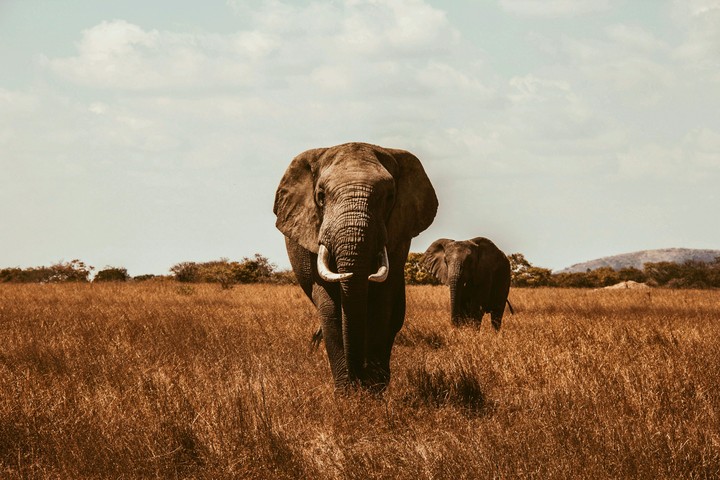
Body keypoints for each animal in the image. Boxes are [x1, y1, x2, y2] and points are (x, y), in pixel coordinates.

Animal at [274, 142, 438, 392]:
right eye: (321, 196)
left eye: (389, 197)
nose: (358, 379)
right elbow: (330, 307)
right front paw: (347, 393)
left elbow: (382, 304)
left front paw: (373, 390)